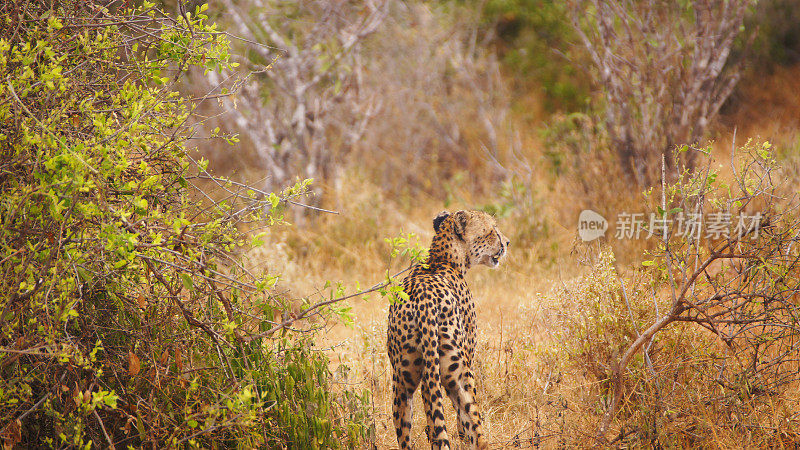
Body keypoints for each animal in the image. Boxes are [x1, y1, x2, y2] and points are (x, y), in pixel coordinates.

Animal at [390, 211, 512, 450]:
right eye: (492, 230)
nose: (507, 242)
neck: (443, 259)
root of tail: (424, 301)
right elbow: (461, 419)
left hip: (403, 377)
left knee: (407, 425)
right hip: (459, 371)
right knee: (473, 420)